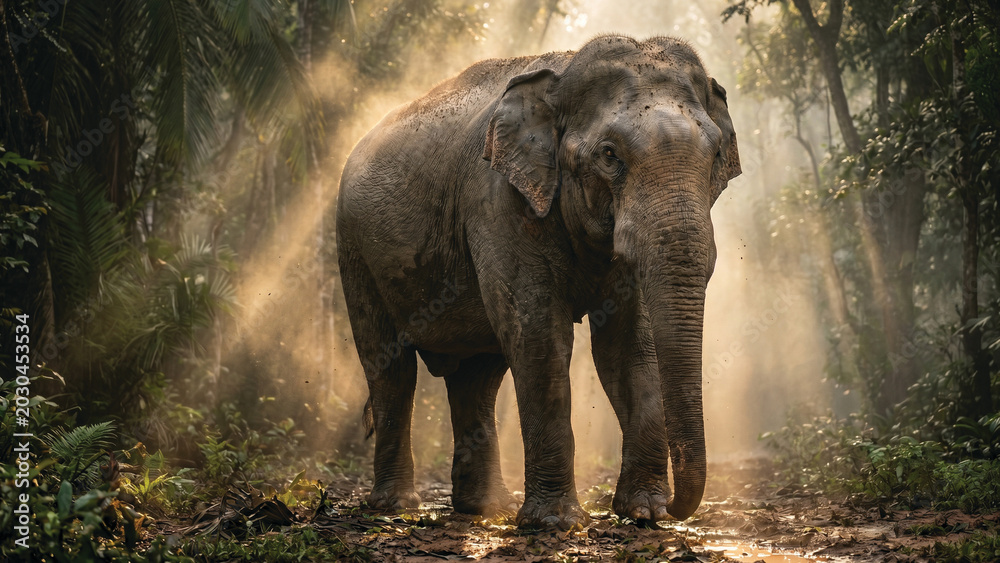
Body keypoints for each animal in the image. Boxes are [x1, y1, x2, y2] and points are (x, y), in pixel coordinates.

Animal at [336, 34, 741, 529]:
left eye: (716, 154)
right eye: (609, 155)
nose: (677, 510)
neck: (562, 76)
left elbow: (628, 346)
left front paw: (643, 511)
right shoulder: (498, 202)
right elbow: (540, 337)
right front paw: (556, 523)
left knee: (477, 376)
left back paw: (487, 507)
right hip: (354, 251)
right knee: (391, 368)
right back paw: (397, 506)